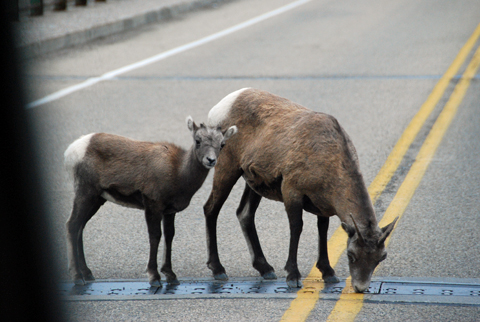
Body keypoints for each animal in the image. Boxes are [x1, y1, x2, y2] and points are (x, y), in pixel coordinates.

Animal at [63, 117, 236, 286]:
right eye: (198, 140)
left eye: (222, 144)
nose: (210, 160)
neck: (178, 172)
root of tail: (73, 151)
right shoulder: (152, 205)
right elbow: (155, 236)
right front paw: (154, 277)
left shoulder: (169, 211)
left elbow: (169, 236)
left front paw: (171, 275)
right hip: (86, 193)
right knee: (72, 225)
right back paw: (77, 277)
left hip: (96, 199)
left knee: (80, 227)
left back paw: (87, 273)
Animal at [204, 88, 400, 292]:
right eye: (350, 255)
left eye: (381, 258)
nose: (360, 287)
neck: (327, 157)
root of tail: (220, 108)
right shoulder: (292, 191)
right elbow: (297, 227)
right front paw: (293, 276)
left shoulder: (322, 205)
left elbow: (322, 230)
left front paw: (328, 273)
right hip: (227, 167)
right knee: (211, 209)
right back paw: (218, 270)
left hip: (252, 181)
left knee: (244, 214)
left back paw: (265, 269)